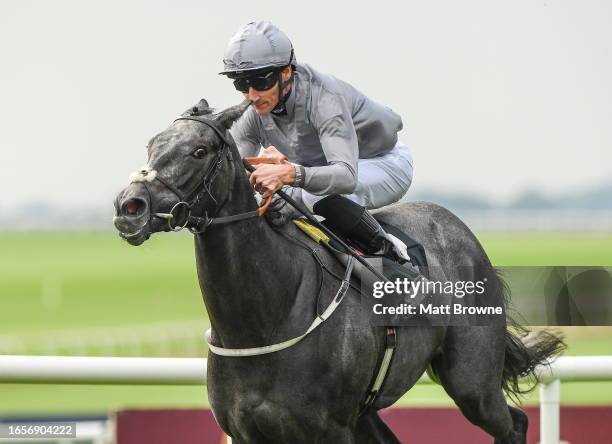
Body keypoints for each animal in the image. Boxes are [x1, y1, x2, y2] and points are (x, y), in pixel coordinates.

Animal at [112, 100, 560, 444]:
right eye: (152, 145)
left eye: (199, 151)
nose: (129, 206)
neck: (263, 319)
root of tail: (461, 230)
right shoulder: (248, 431)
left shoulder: (329, 429)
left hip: (472, 381)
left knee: (513, 424)